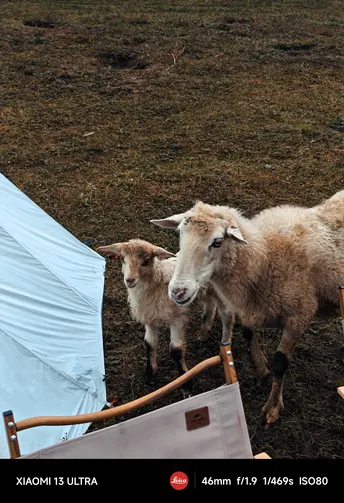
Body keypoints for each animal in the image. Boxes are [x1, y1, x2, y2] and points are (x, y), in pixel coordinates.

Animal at [97, 237, 234, 398]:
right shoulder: (149, 318)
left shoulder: (177, 319)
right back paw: (203, 335)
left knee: (227, 315)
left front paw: (186, 385)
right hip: (207, 291)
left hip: (222, 293)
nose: (129, 280)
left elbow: (176, 350)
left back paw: (225, 341)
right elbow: (149, 344)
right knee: (210, 307)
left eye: (146, 260)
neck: (158, 281)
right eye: (123, 259)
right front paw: (150, 374)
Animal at [152, 191, 344, 428]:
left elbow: (280, 363)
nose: (178, 291)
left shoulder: (300, 314)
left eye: (217, 242)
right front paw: (261, 370)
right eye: (180, 234)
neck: (264, 256)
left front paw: (272, 408)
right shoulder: (250, 308)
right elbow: (247, 333)